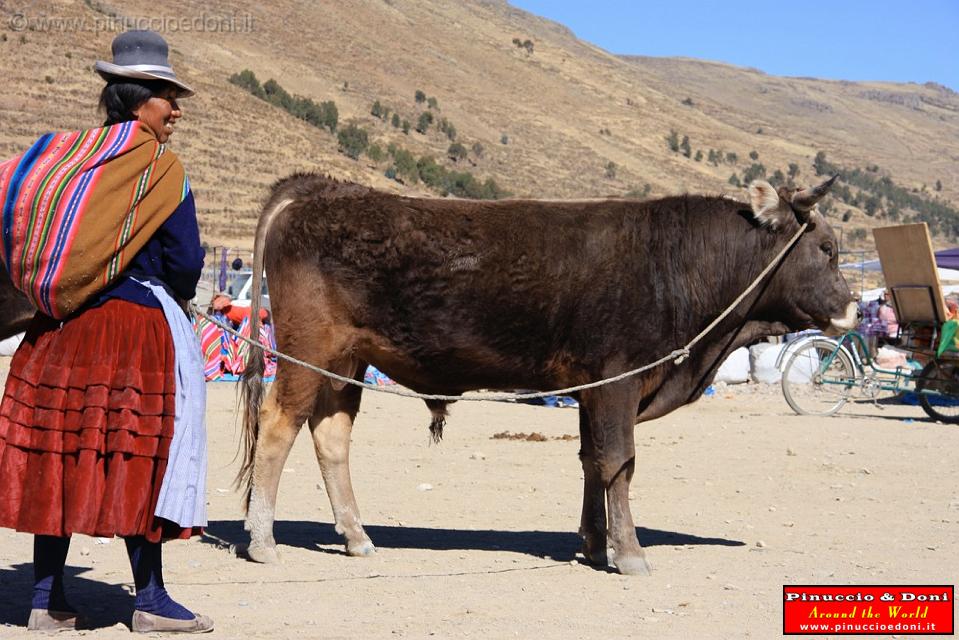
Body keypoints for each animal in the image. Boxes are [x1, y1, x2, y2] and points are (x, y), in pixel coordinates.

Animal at [240, 175, 856, 576]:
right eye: (827, 247)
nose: (852, 307)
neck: (672, 261)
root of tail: (318, 189)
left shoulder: (591, 390)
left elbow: (591, 461)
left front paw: (593, 543)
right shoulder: (617, 381)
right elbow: (619, 462)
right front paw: (629, 552)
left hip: (345, 363)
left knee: (330, 436)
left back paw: (356, 536)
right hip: (306, 351)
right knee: (278, 426)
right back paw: (263, 540)